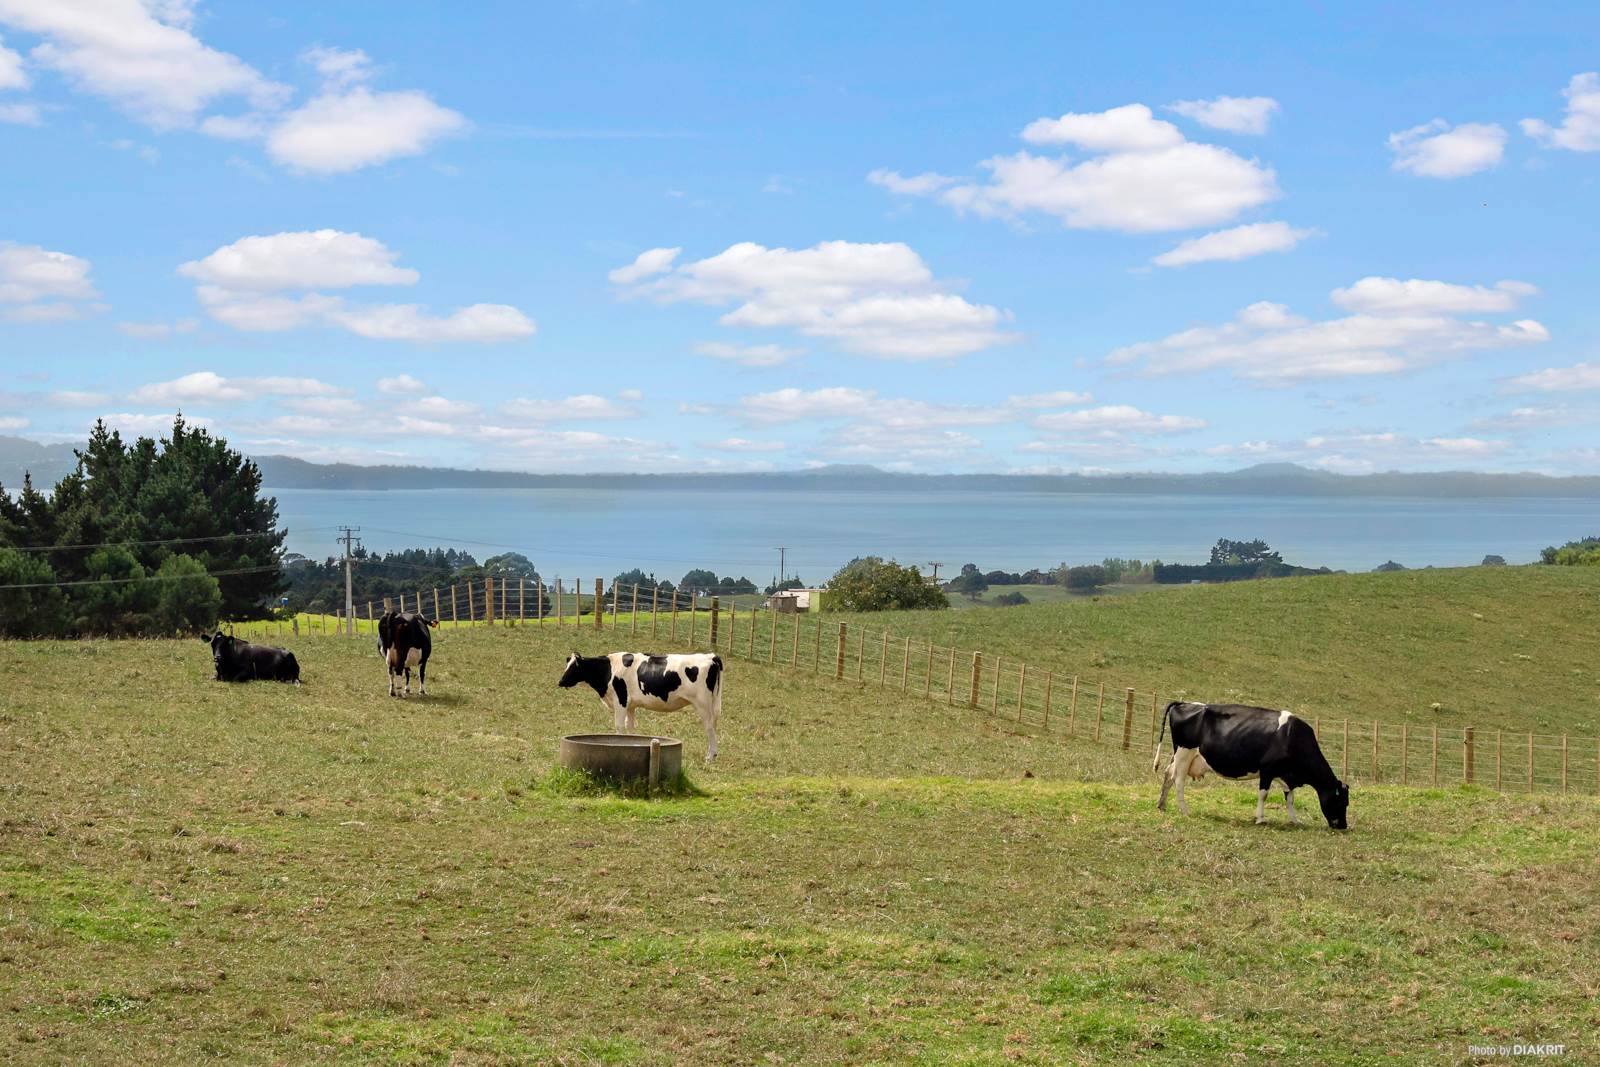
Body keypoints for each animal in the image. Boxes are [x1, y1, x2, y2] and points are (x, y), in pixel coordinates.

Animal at [553, 652, 723, 758]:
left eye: (573, 668)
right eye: (566, 665)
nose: (560, 681)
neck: (609, 669)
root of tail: (710, 656)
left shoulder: (620, 701)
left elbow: (619, 726)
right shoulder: (630, 705)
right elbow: (630, 727)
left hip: (702, 704)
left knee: (709, 728)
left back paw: (710, 756)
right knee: (713, 726)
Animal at [1152, 703, 1350, 831]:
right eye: (1342, 802)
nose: (1343, 826)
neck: (1291, 737)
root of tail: (1184, 703)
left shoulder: (1286, 775)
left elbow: (1290, 799)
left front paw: (1295, 820)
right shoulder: (1267, 769)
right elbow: (1264, 794)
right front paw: (1260, 819)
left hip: (1180, 755)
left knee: (1168, 774)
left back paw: (1162, 805)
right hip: (1184, 753)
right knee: (1178, 780)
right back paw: (1185, 811)